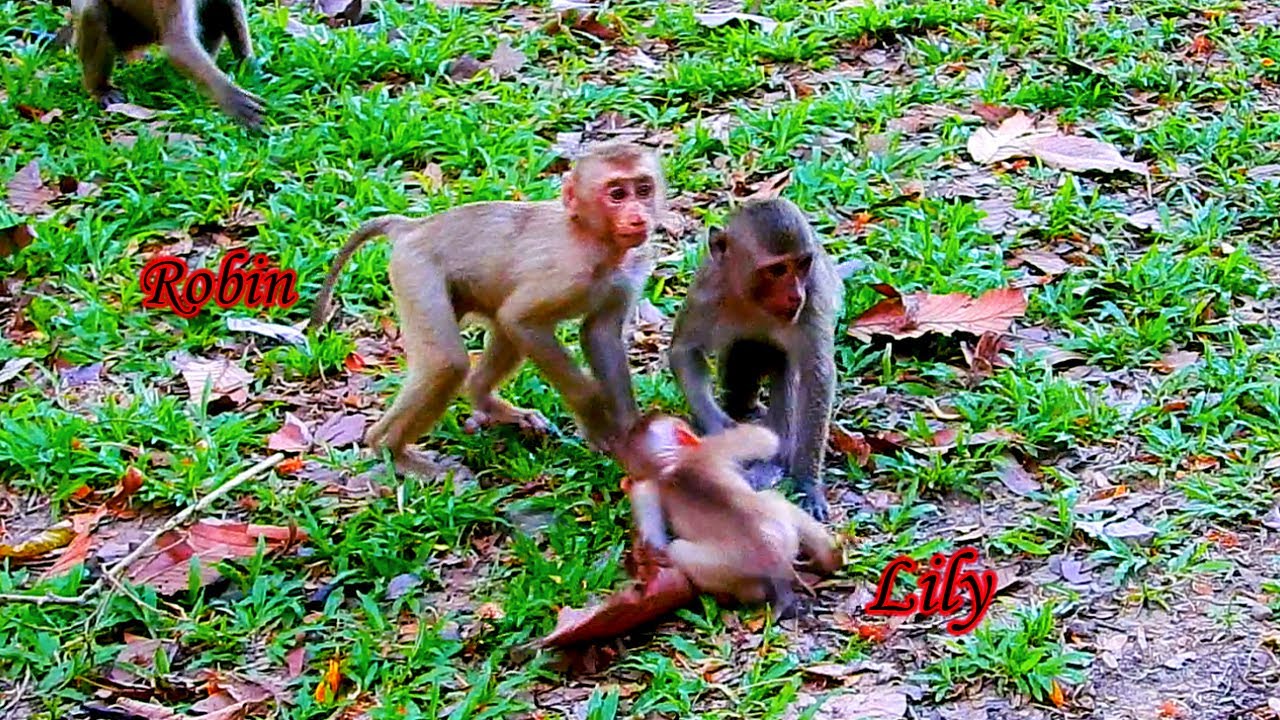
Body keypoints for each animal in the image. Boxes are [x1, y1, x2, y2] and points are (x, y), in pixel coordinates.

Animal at [70, 0, 264, 127]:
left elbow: (229, 5)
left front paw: (249, 66)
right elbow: (178, 42)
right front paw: (232, 99)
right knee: (93, 12)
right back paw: (100, 90)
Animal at [308, 141, 665, 475]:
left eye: (643, 189)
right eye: (617, 194)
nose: (638, 216)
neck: (593, 240)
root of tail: (415, 227)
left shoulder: (628, 273)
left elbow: (598, 334)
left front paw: (632, 433)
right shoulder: (567, 273)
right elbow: (519, 319)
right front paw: (594, 415)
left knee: (497, 336)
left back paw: (484, 400)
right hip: (415, 270)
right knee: (448, 362)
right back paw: (389, 449)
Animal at [669, 197, 844, 521]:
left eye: (803, 264)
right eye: (777, 269)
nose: (794, 295)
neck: (752, 300)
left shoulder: (811, 299)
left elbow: (816, 375)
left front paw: (807, 482)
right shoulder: (707, 292)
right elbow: (685, 351)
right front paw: (720, 428)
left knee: (783, 365)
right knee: (741, 350)